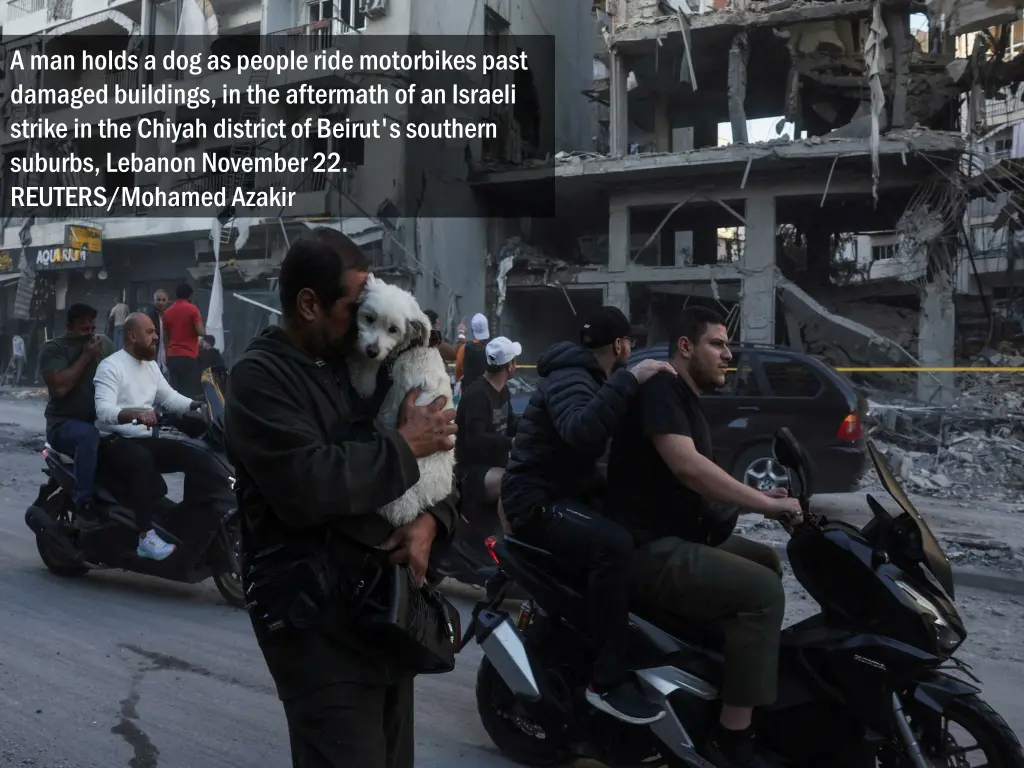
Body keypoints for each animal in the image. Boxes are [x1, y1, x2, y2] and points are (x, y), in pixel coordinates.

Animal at [348, 272, 452, 528]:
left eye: (394, 329)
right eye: (369, 318)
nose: (372, 350)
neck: (408, 349)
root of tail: (421, 504)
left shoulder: (368, 381)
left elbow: (357, 370)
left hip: (395, 500)